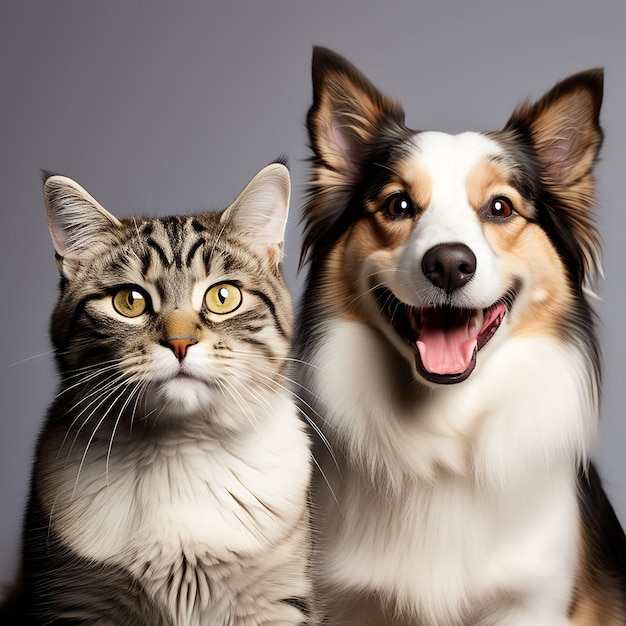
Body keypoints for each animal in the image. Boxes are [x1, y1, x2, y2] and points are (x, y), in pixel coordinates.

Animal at [9, 162, 312, 624]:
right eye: (129, 301)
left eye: (223, 296)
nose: (180, 342)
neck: (178, 448)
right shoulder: (71, 599)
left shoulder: (277, 603)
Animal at [296, 48, 624, 624]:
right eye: (399, 205)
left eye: (500, 207)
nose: (449, 264)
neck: (444, 425)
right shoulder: (347, 601)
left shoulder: (531, 599)